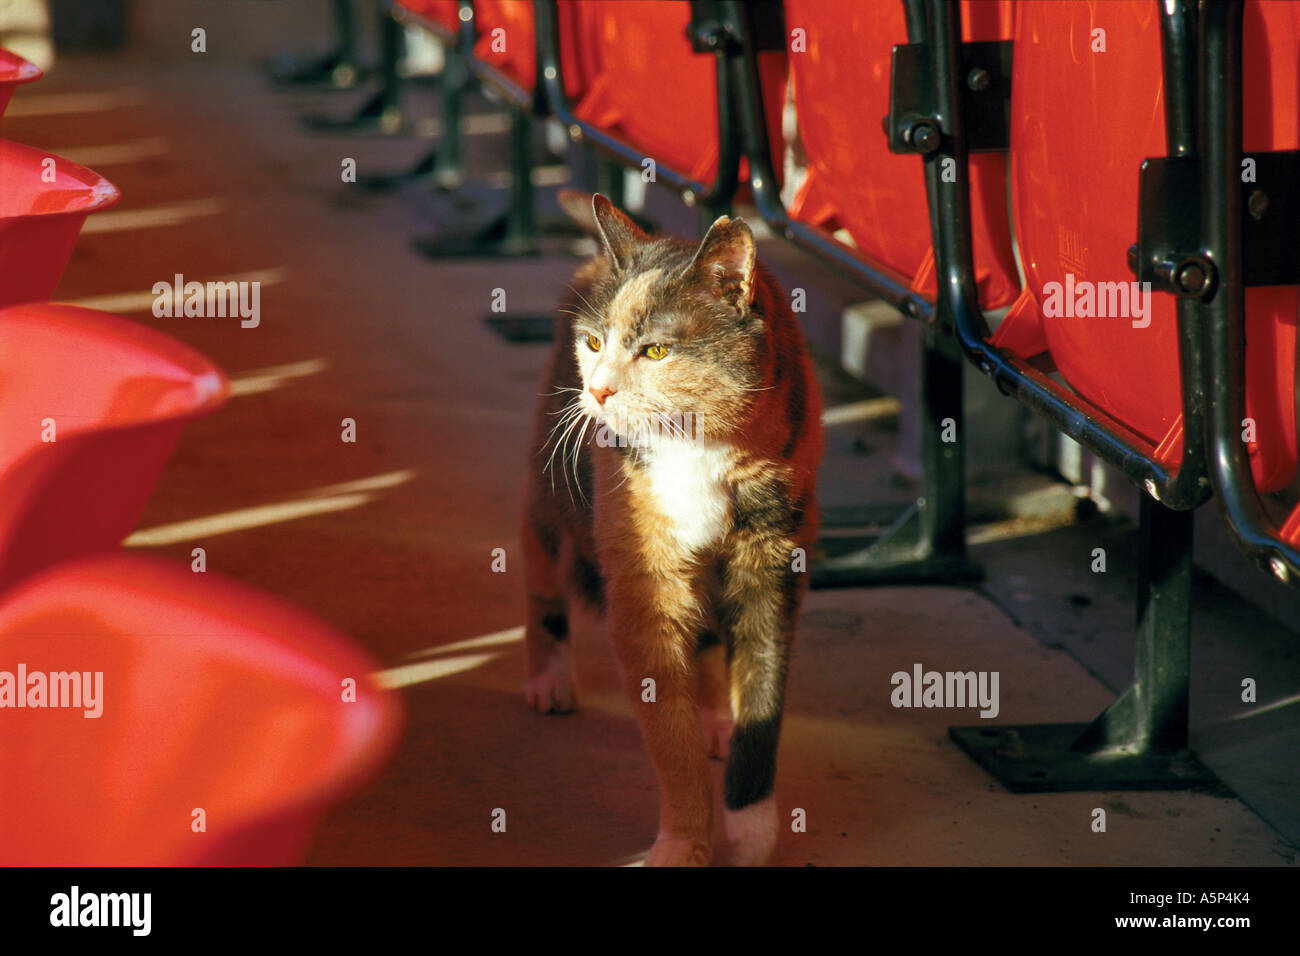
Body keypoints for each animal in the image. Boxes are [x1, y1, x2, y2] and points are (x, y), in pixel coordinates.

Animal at [520, 195, 816, 868]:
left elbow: (762, 699)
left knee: (705, 641)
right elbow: (669, 739)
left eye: (656, 352)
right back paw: (551, 679)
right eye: (594, 341)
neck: (698, 447)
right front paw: (682, 844)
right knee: (541, 566)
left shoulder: (774, 565)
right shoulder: (643, 585)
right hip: (551, 483)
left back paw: (713, 718)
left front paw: (752, 831)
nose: (598, 389)